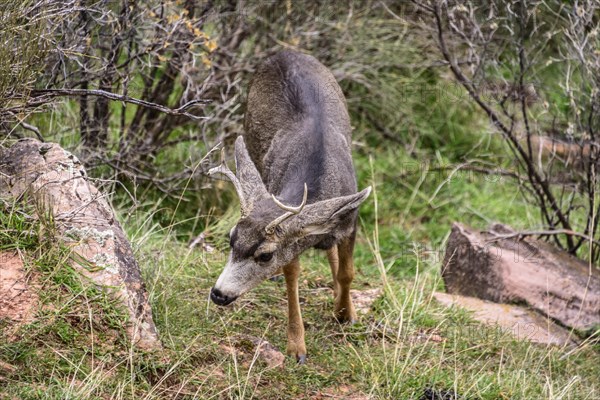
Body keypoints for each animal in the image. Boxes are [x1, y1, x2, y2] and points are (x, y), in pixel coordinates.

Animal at [210, 50, 370, 362]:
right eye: (230, 238)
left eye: (265, 255)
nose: (219, 294)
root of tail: (282, 52)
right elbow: (292, 279)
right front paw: (297, 347)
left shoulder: (351, 220)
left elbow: (347, 273)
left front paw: (345, 313)